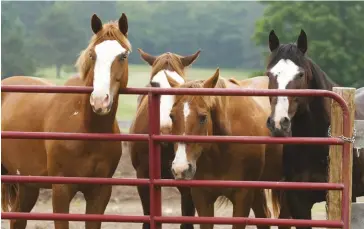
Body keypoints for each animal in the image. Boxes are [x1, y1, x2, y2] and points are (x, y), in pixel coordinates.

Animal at [0, 13, 132, 229]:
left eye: (123, 56)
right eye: (92, 55)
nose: (99, 100)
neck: (87, 129)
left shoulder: (100, 192)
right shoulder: (61, 189)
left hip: (27, 184)